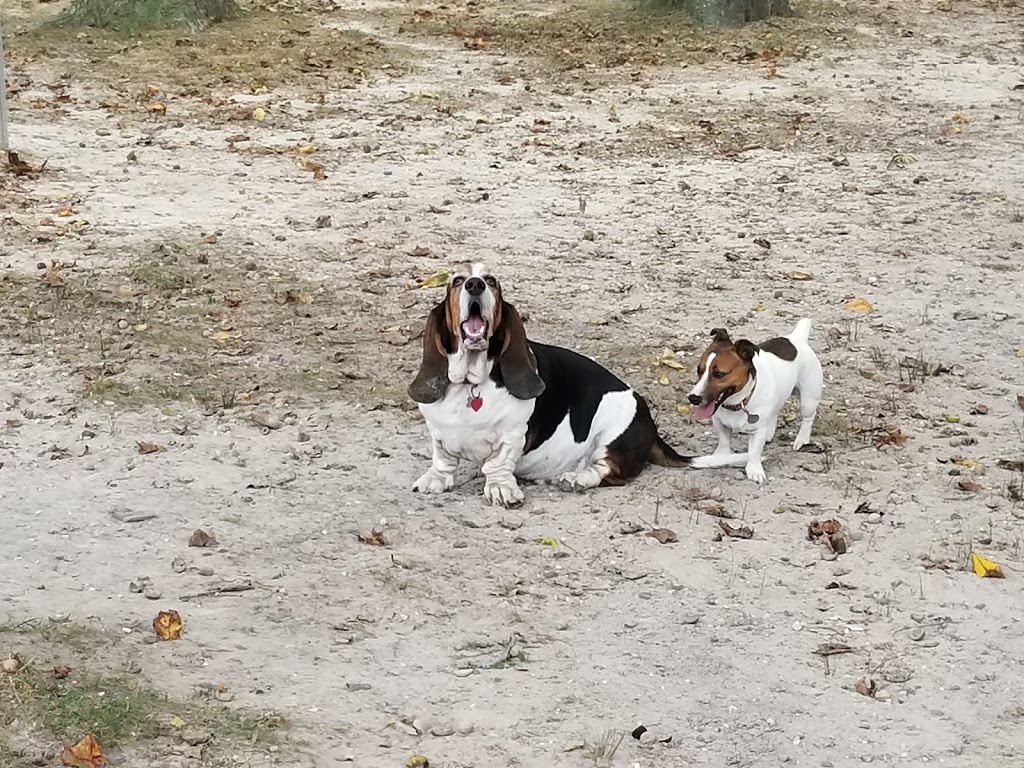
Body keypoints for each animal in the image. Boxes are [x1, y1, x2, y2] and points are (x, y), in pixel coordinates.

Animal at [407, 266, 688, 512]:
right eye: (456, 281)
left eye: (492, 281)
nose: (475, 284)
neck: (471, 384)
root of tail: (650, 426)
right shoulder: (438, 433)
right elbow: (443, 459)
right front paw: (435, 480)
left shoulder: (512, 434)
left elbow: (498, 464)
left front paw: (500, 490)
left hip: (613, 432)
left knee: (606, 470)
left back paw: (575, 479)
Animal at [688, 319, 823, 487]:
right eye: (698, 371)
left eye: (719, 374)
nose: (693, 398)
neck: (738, 403)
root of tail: (796, 339)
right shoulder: (720, 423)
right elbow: (724, 441)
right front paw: (721, 457)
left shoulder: (757, 431)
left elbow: (754, 452)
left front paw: (754, 470)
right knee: (775, 411)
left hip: (808, 399)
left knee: (808, 418)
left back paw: (802, 439)